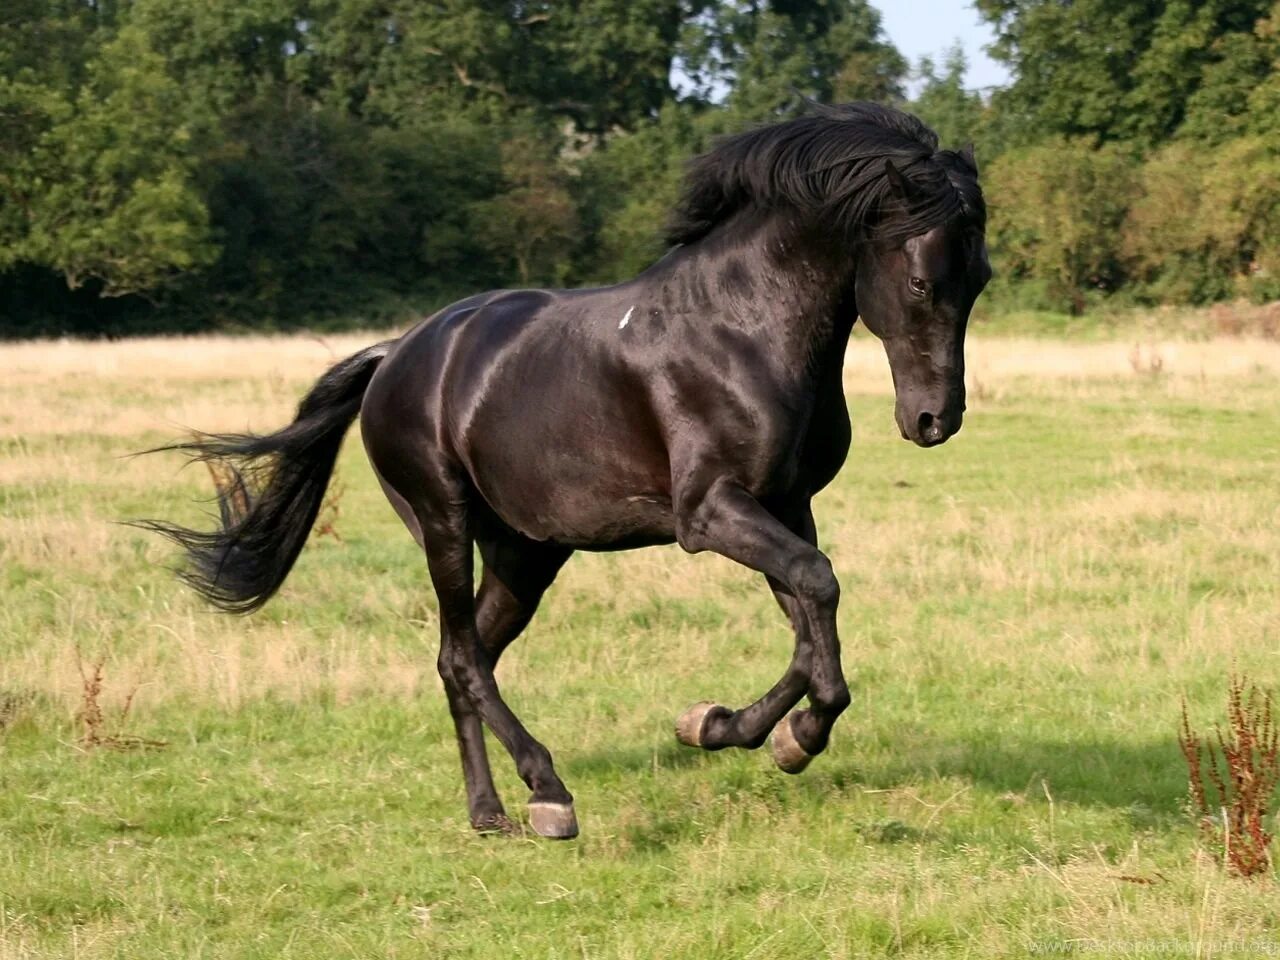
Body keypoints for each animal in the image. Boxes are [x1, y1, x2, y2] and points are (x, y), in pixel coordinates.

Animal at [145, 104, 993, 839]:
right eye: (922, 281)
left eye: (979, 279)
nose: (934, 420)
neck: (743, 329)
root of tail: (397, 354)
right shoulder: (710, 512)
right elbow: (818, 593)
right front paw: (789, 734)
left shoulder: (785, 506)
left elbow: (806, 621)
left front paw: (728, 728)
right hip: (444, 524)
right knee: (462, 657)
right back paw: (548, 795)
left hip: (525, 555)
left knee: (462, 659)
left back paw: (489, 811)